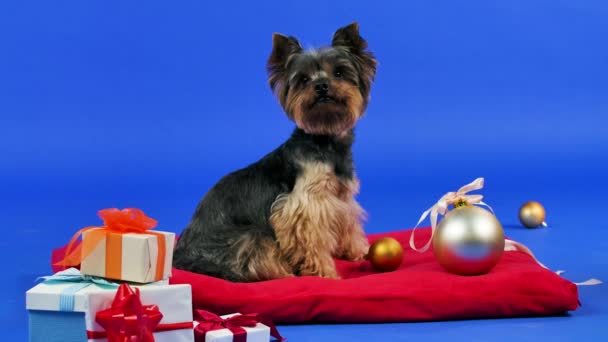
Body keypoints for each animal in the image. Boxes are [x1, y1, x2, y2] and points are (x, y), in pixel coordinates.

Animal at [171, 22, 378, 284]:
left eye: (339, 73)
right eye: (303, 79)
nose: (321, 85)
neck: (325, 140)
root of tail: (181, 257)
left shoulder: (341, 197)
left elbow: (349, 224)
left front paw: (357, 251)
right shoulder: (304, 206)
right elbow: (311, 240)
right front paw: (325, 273)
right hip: (250, 238)